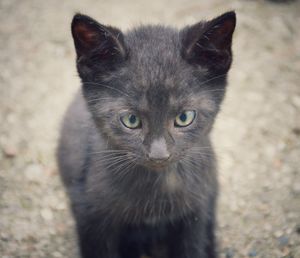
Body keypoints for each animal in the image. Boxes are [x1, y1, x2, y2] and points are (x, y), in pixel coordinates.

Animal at [57, 11, 237, 258]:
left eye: (184, 118)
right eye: (131, 120)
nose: (159, 155)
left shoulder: (196, 212)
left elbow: (193, 247)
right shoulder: (89, 214)